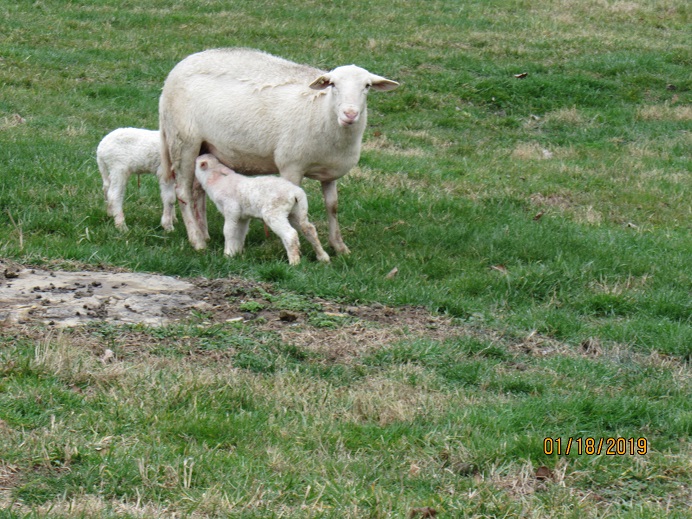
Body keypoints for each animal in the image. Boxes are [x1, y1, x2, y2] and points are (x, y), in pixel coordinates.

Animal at [193, 152, 332, 266]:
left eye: (197, 162)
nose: (197, 155)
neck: (216, 181)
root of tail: (296, 192)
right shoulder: (243, 216)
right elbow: (240, 233)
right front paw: (237, 252)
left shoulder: (231, 209)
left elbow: (228, 231)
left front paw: (227, 254)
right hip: (296, 212)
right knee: (309, 230)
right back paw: (323, 257)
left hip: (274, 213)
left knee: (290, 234)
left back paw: (294, 262)